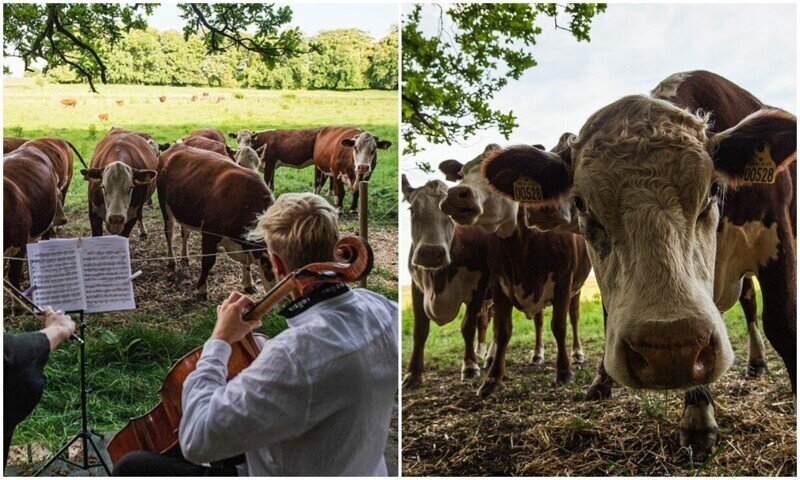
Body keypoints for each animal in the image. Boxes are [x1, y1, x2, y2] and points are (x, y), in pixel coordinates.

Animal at [155, 144, 276, 298]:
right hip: (165, 206)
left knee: (185, 233)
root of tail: (175, 146)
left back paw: (185, 257)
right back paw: (172, 261)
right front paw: (201, 289)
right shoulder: (209, 234)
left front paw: (249, 284)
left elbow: (247, 264)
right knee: (169, 234)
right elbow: (208, 261)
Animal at [400, 174, 494, 388]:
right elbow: (420, 330)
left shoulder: (480, 286)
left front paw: (469, 366)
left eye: (451, 214)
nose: (431, 252)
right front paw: (413, 373)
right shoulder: (417, 287)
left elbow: (468, 326)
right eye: (412, 209)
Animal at [438, 144, 592, 396]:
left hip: (576, 289)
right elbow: (502, 330)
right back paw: (537, 354)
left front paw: (563, 371)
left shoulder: (563, 280)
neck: (522, 246)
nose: (455, 194)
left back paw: (577, 354)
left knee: (574, 317)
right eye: (461, 174)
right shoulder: (499, 283)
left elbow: (559, 325)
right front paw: (492, 379)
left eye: (499, 176)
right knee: (538, 321)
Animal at [478, 70, 796, 458]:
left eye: (714, 190)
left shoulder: (779, 238)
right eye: (581, 203)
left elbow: (783, 325)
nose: (669, 351)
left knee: (750, 306)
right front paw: (698, 418)